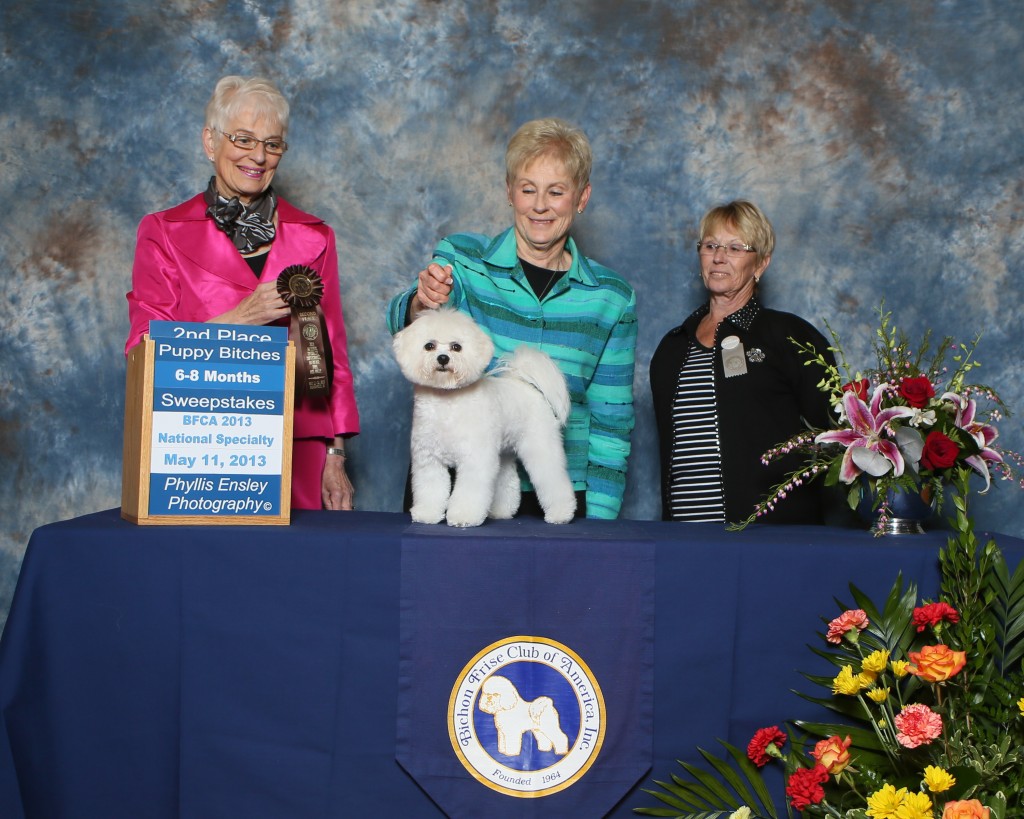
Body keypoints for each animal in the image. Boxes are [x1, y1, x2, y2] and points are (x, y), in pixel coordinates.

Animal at [391, 307, 577, 524]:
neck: (446, 401)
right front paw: (427, 514)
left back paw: (561, 513)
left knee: (553, 479)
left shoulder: (475, 459)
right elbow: (431, 490)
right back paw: (501, 511)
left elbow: (470, 491)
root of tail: (526, 385)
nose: (443, 358)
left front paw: (464, 515)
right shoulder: (429, 461)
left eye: (456, 347)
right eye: (429, 346)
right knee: (507, 481)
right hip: (503, 453)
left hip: (540, 446)